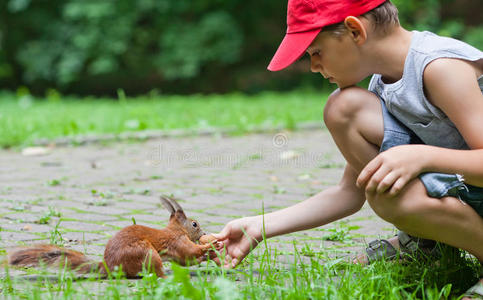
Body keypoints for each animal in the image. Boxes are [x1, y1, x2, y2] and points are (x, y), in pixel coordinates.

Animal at [8, 196, 219, 278]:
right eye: (194, 224)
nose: (204, 234)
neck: (176, 230)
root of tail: (109, 266)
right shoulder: (177, 242)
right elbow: (189, 253)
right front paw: (210, 245)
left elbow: (187, 260)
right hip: (147, 254)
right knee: (155, 271)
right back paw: (165, 276)